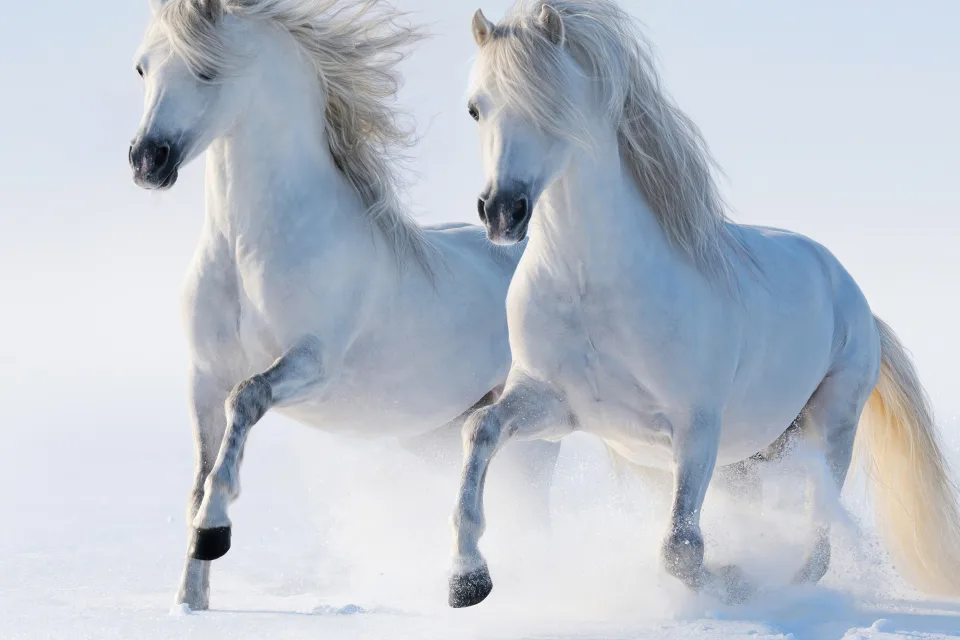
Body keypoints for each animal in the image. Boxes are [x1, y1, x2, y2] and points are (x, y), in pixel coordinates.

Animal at [128, 0, 560, 611]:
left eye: (207, 70)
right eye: (143, 67)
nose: (147, 161)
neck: (247, 250)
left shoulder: (312, 363)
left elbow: (246, 400)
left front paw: (214, 533)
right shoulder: (203, 377)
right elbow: (198, 475)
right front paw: (190, 601)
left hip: (535, 436)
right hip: (435, 437)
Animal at [448, 0, 960, 607]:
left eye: (552, 104)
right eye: (475, 108)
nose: (502, 211)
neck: (593, 287)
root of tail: (854, 297)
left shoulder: (696, 428)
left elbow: (681, 549)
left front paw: (733, 580)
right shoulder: (553, 406)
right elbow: (479, 430)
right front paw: (467, 579)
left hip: (831, 424)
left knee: (819, 536)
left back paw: (785, 584)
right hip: (755, 454)